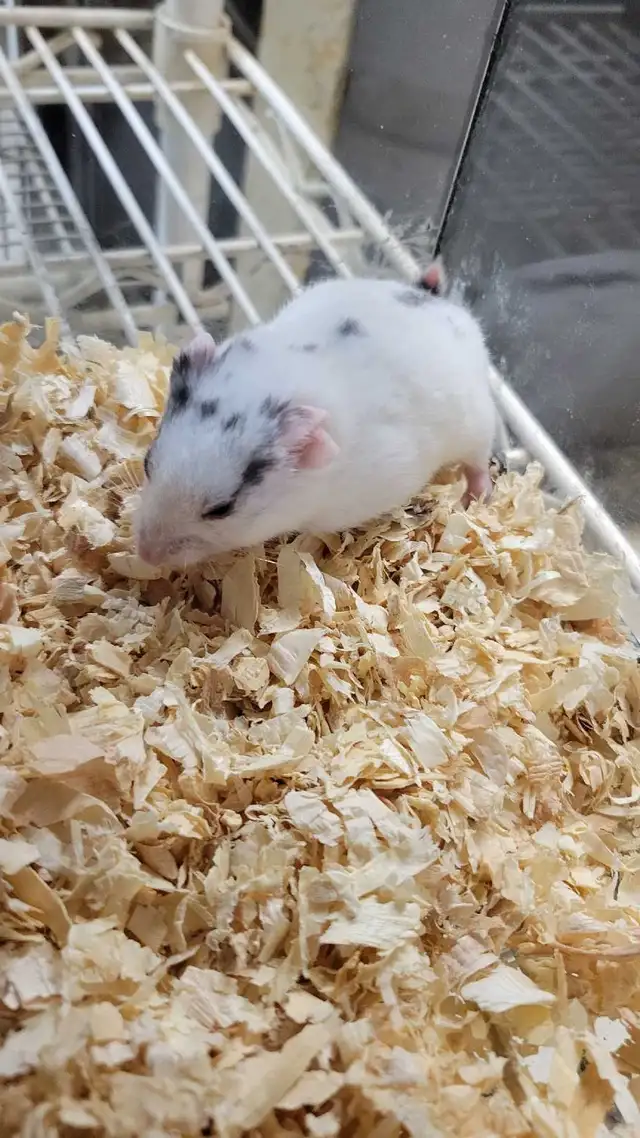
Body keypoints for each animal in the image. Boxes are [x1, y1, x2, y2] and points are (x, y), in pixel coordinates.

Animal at [135, 271, 498, 568]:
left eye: (221, 509)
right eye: (147, 463)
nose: (145, 554)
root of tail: (436, 299)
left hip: (478, 422)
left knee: (478, 463)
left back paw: (475, 498)